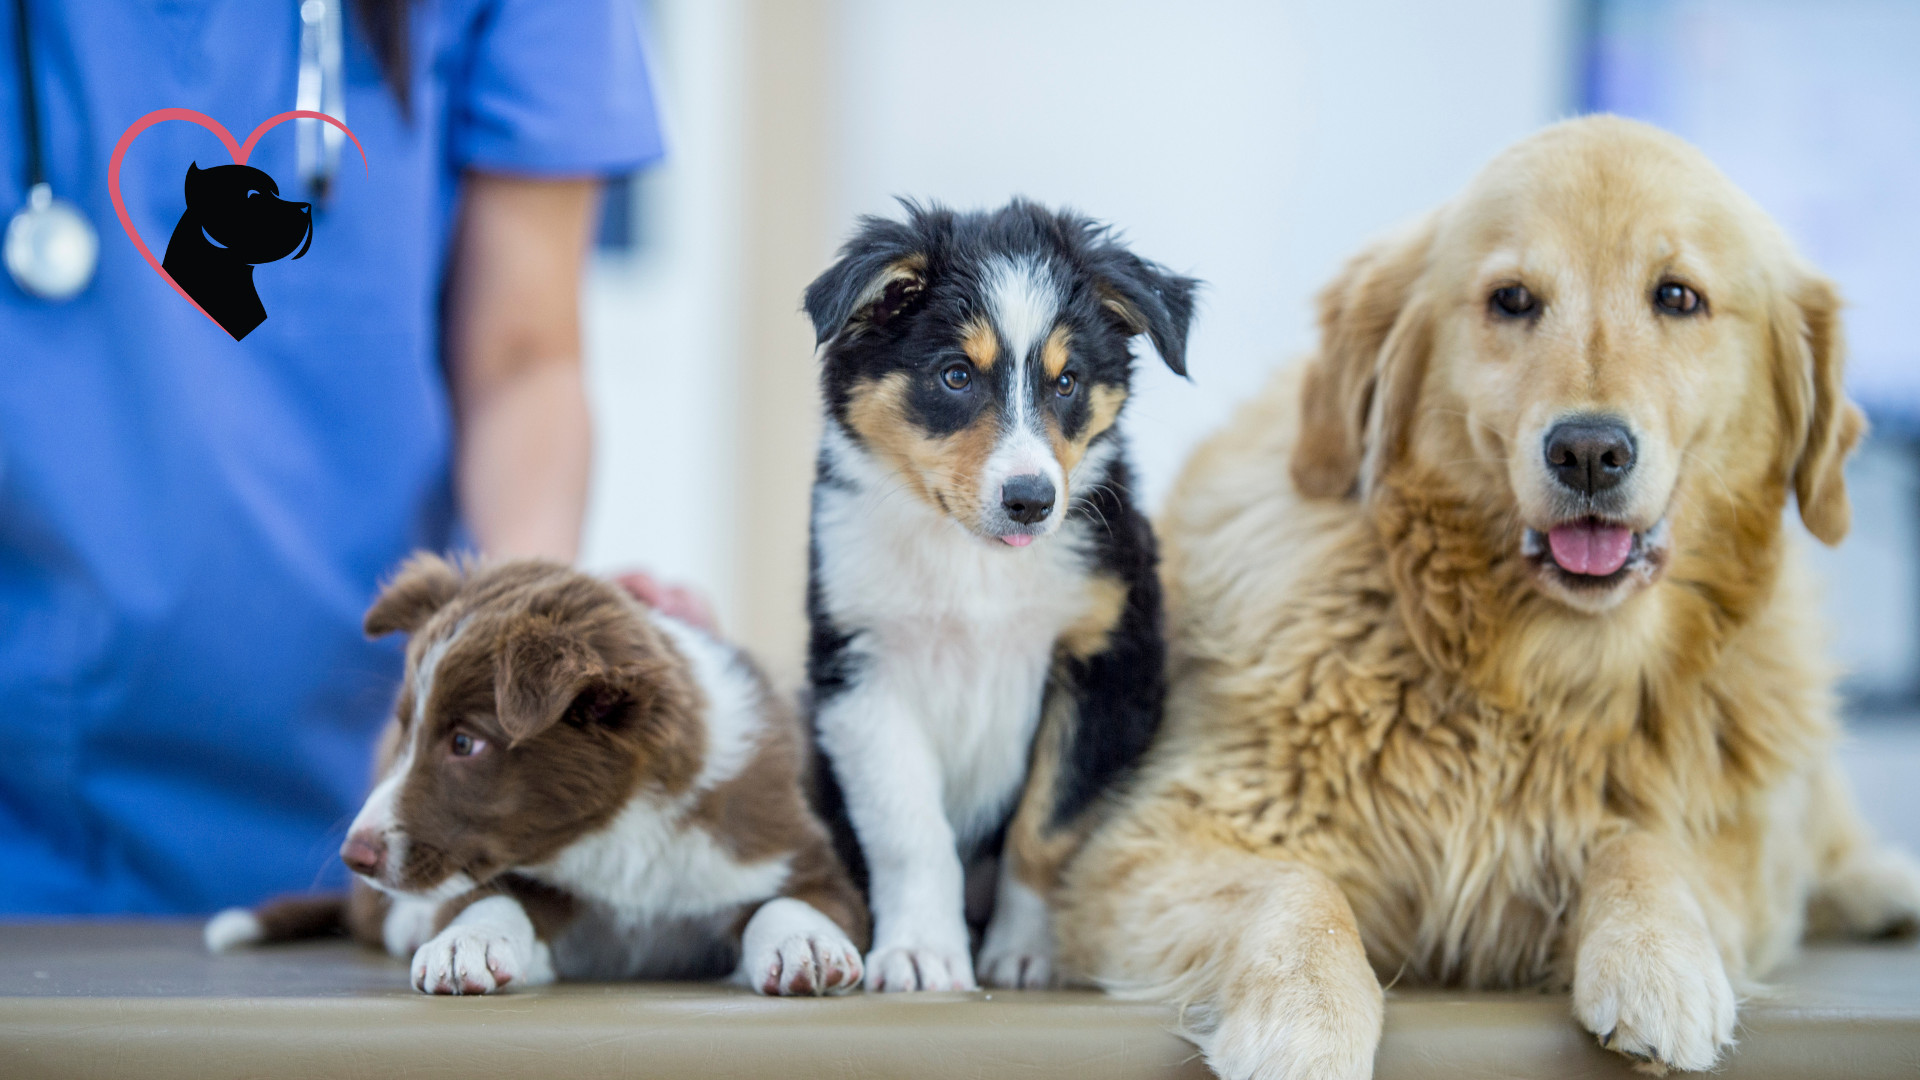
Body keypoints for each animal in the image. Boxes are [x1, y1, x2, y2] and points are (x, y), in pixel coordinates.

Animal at [206, 553, 867, 991]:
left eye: (465, 743)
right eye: (406, 727)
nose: (354, 856)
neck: (620, 833)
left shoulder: (790, 849)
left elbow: (792, 901)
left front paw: (805, 941)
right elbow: (493, 899)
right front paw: (463, 942)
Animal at [802, 197, 1190, 991]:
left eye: (1066, 382)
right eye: (955, 376)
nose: (1032, 501)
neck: (973, 563)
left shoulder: (1107, 662)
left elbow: (1046, 824)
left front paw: (1026, 952)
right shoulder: (860, 668)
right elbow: (910, 828)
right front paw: (922, 952)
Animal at [1052, 113, 1920, 1068]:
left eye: (1678, 296)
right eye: (1511, 300)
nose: (1588, 452)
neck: (1533, 669)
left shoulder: (1732, 860)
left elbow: (1646, 846)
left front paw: (1659, 961)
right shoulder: (1149, 847)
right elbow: (1297, 889)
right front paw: (1304, 1018)